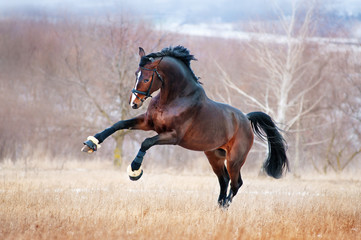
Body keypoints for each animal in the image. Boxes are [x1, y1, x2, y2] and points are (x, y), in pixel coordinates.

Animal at [81, 46, 286, 207]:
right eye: (135, 74)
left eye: (146, 79)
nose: (134, 103)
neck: (173, 99)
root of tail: (245, 118)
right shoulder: (148, 122)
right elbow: (120, 124)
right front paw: (91, 143)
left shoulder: (172, 136)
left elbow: (146, 142)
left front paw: (135, 170)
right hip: (214, 155)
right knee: (224, 180)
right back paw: (218, 207)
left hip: (235, 159)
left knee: (236, 184)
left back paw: (225, 206)